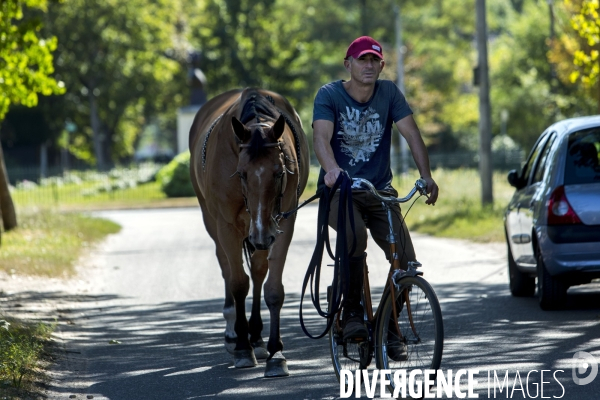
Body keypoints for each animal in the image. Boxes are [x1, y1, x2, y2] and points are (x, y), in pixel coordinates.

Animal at [189, 88, 310, 378]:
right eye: (241, 174)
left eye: (279, 172)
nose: (262, 235)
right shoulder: (227, 225)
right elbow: (237, 283)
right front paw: (243, 349)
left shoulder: (282, 221)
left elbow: (272, 287)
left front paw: (276, 353)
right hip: (214, 221)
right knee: (226, 265)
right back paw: (234, 332)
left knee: (257, 270)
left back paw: (255, 335)